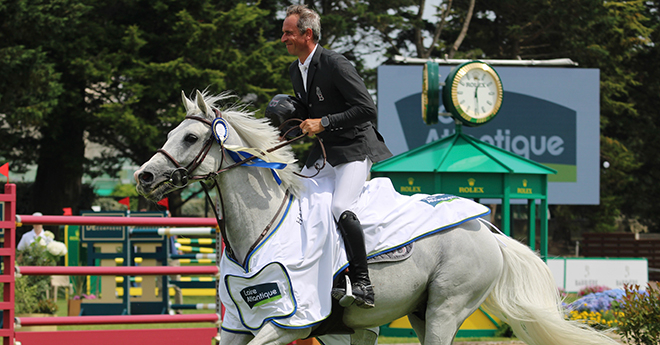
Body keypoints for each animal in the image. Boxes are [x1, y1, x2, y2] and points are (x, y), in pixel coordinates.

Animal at [134, 89, 620, 344]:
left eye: (190, 137)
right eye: (171, 133)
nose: (144, 176)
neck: (260, 229)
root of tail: (483, 226)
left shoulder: (287, 323)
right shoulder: (238, 323)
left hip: (445, 310)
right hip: (410, 315)